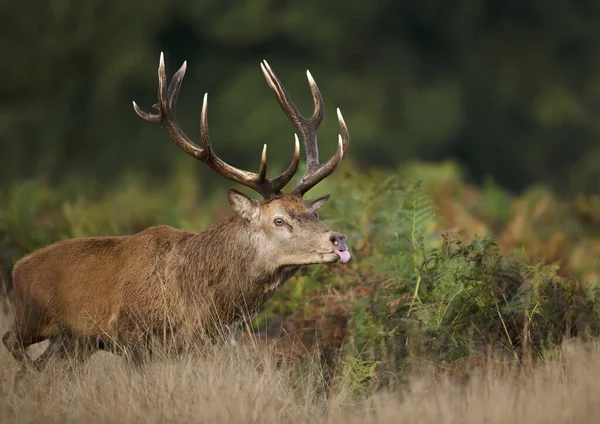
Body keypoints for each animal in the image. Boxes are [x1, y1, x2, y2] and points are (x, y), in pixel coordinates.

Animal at [2, 53, 350, 372]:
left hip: (73, 341)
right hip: (33, 317)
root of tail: (17, 269)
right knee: (11, 341)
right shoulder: (130, 333)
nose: (339, 240)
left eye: (314, 214)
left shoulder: (201, 343)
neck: (196, 300)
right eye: (279, 220)